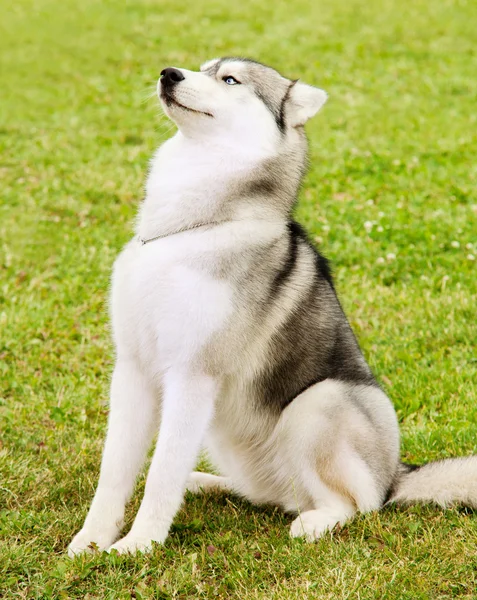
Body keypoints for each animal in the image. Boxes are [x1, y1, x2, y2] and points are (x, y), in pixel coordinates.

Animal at [69, 58, 474, 556]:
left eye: (229, 79)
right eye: (201, 67)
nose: (169, 73)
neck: (193, 229)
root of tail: (396, 476)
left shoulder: (193, 376)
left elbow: (162, 472)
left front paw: (138, 544)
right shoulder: (133, 368)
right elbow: (115, 470)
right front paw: (91, 542)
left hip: (318, 402)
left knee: (355, 506)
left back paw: (316, 522)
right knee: (265, 494)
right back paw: (206, 482)